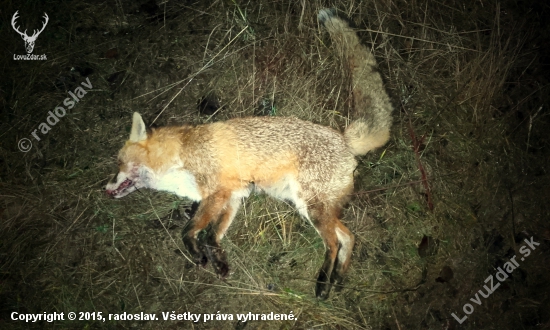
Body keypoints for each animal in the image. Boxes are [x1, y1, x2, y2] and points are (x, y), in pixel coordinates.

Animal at [105, 9, 394, 300]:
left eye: (118, 163)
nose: (106, 188)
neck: (181, 156)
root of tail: (343, 138)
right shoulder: (232, 196)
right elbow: (211, 236)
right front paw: (219, 264)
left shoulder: (217, 192)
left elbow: (189, 231)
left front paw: (198, 255)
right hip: (308, 206)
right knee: (349, 237)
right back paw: (339, 279)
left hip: (311, 206)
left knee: (334, 243)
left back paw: (323, 283)